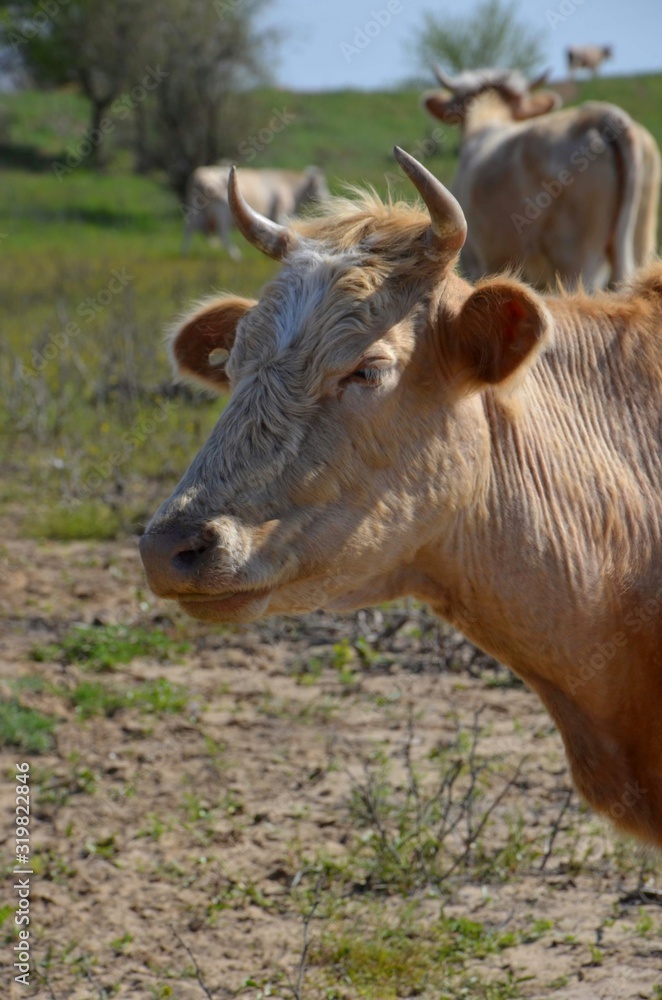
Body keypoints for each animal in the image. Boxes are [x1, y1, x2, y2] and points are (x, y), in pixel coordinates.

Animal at [183, 164, 330, 258]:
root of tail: (199, 172)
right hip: (222, 209)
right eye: (321, 186)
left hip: (199, 209)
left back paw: (185, 252)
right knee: (222, 230)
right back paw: (234, 255)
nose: (328, 199)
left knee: (190, 226)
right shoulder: (280, 212)